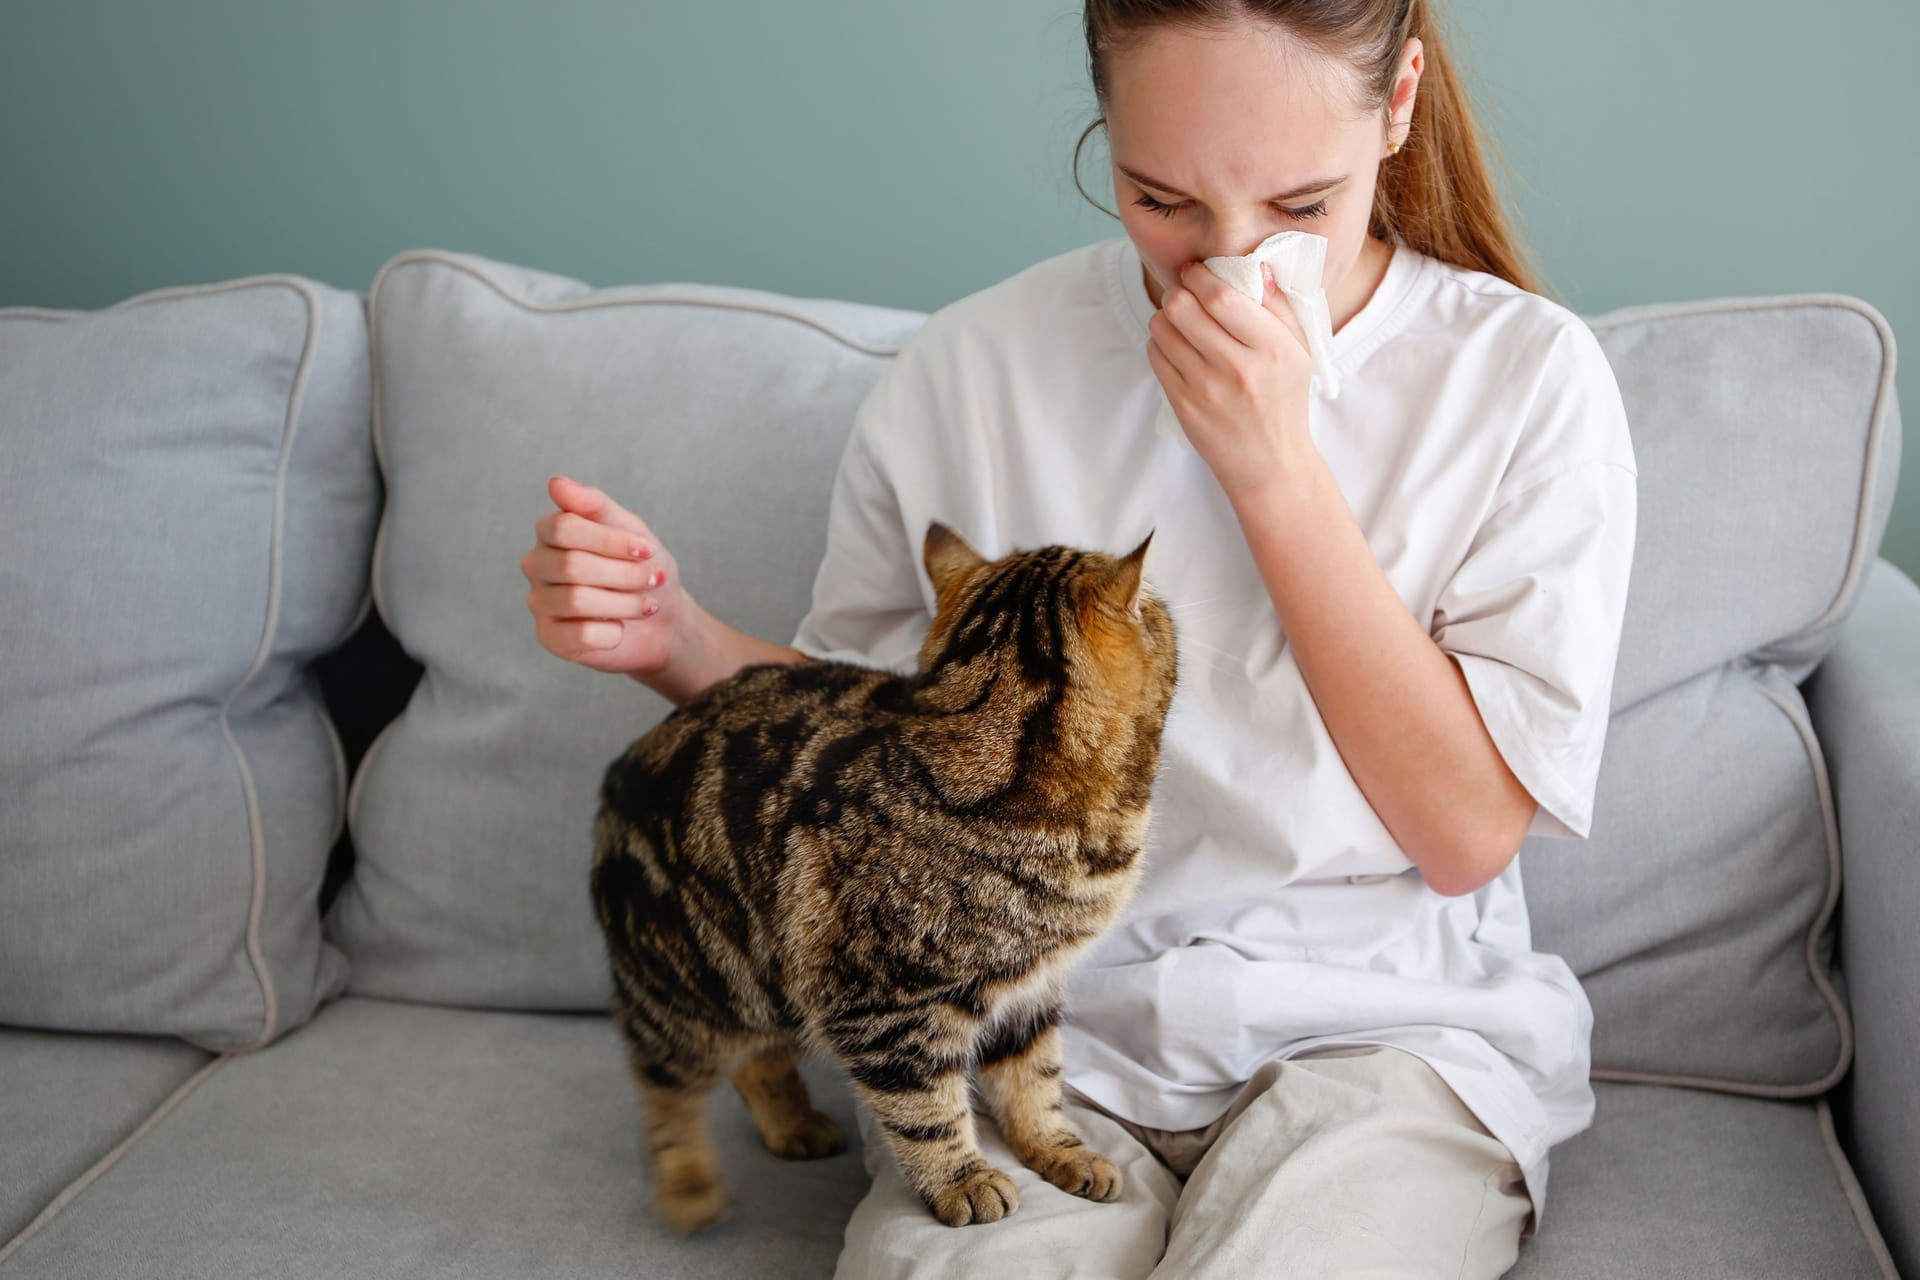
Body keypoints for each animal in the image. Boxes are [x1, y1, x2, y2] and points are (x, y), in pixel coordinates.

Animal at [591, 518, 1175, 1228]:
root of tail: (622, 764)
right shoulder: (882, 1007)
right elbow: (926, 1108)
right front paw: (962, 1179)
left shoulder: (1029, 990)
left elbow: (1035, 1081)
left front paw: (1061, 1150)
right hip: (687, 987)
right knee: (666, 1086)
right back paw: (687, 1186)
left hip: (770, 976)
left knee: (757, 1058)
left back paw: (794, 1126)